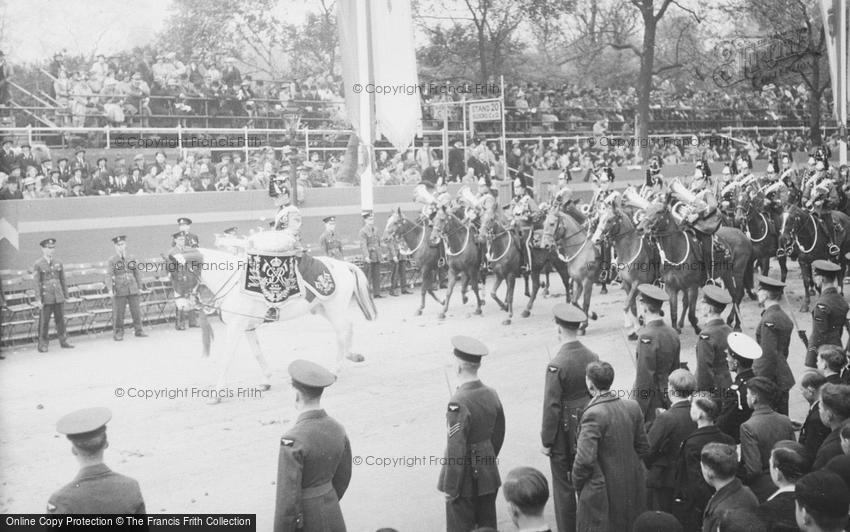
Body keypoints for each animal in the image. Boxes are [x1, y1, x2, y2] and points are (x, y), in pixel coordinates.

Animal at [195, 237, 374, 404]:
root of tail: (344, 265)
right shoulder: (247, 327)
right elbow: (257, 353)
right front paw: (266, 381)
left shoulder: (236, 326)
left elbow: (226, 358)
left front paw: (217, 394)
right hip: (324, 309)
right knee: (347, 327)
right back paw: (352, 356)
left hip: (334, 309)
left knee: (342, 332)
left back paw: (335, 370)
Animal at [592, 204, 660, 336]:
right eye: (599, 219)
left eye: (609, 220)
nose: (595, 239)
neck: (630, 250)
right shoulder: (627, 284)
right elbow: (632, 305)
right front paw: (636, 327)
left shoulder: (637, 283)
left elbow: (626, 304)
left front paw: (630, 326)